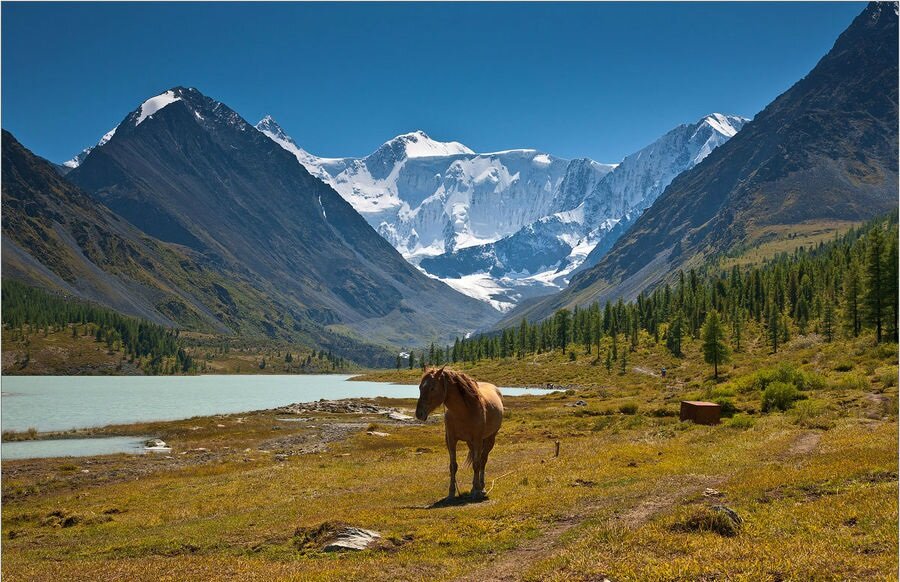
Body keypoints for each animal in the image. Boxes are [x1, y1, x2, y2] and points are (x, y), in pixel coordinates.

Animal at [416, 370, 506, 502]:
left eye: (432, 388)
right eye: (420, 387)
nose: (419, 413)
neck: (463, 412)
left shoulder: (478, 440)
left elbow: (476, 464)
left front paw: (476, 492)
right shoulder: (451, 440)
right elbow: (453, 466)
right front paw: (451, 493)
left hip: (490, 439)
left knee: (483, 461)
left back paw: (481, 488)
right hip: (470, 443)